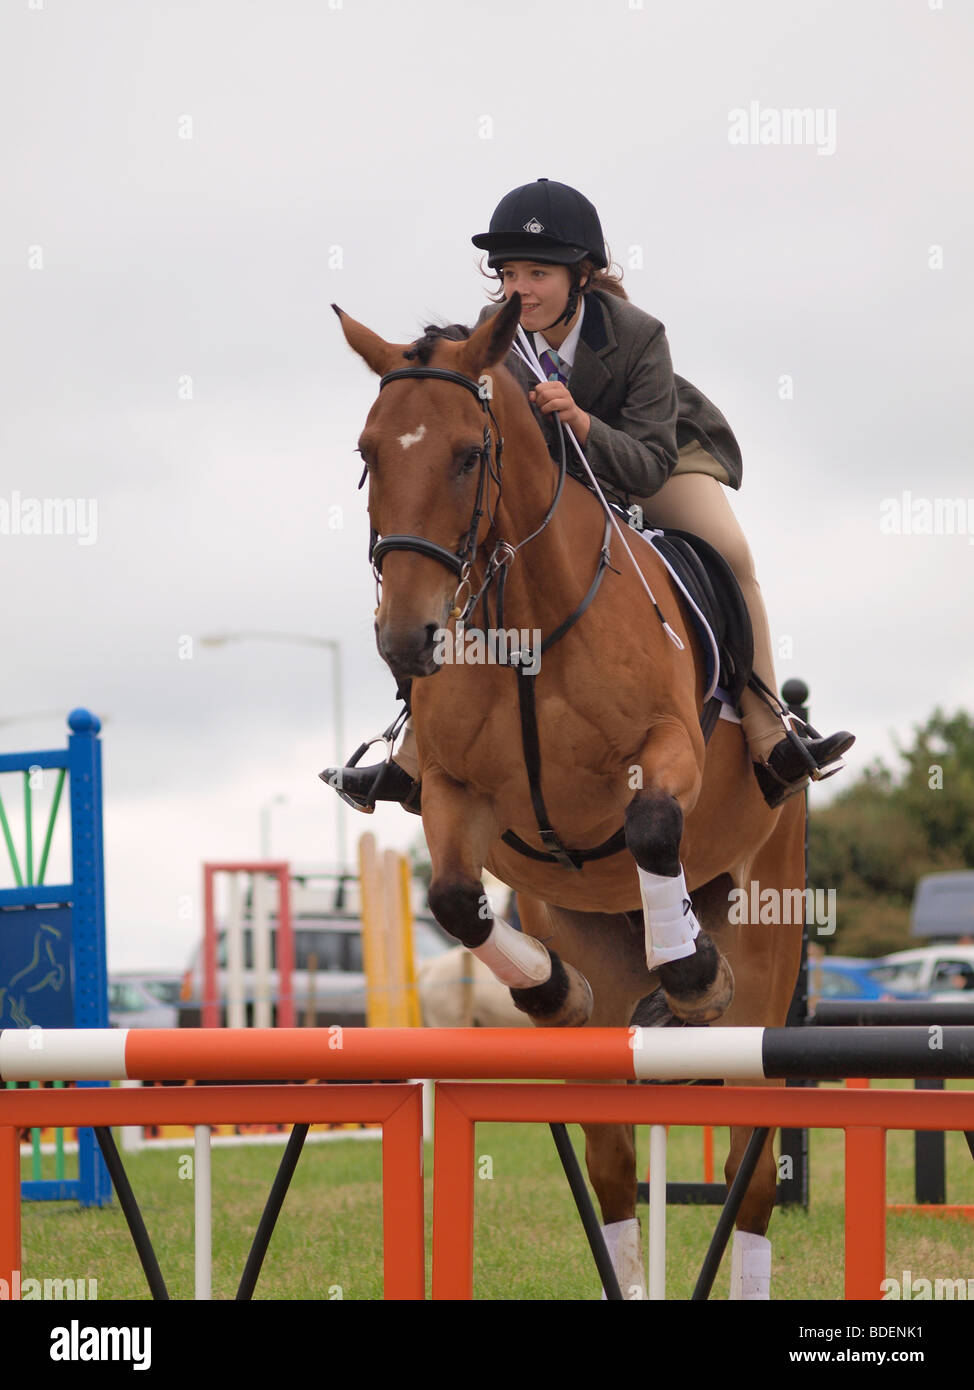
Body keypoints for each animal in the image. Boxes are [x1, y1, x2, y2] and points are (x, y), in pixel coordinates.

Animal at [334, 296, 805, 1301]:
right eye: (368, 452)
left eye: (467, 454)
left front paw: (694, 975)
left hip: (768, 948)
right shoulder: (458, 794)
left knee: (750, 1162)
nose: (405, 640)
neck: (529, 619)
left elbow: (654, 825)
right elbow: (453, 899)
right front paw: (555, 990)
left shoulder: (666, 750)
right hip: (588, 937)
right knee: (615, 1166)